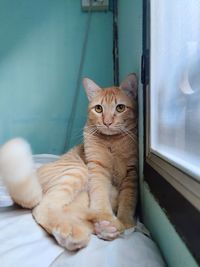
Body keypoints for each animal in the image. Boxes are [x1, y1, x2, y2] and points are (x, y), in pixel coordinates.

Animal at [0, 74, 138, 251]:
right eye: (98, 109)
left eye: (120, 108)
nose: (107, 122)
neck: (112, 142)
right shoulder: (97, 169)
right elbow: (100, 195)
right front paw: (107, 216)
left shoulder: (132, 173)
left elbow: (128, 200)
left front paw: (126, 222)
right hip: (76, 171)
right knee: (43, 207)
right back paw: (75, 231)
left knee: (77, 215)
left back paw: (105, 228)